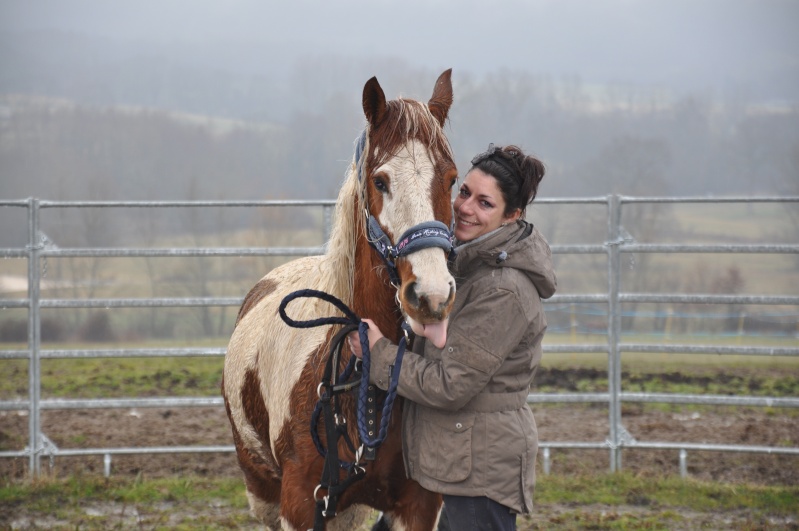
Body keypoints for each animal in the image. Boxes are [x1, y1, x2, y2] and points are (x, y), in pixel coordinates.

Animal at [223, 70, 462, 531]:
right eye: (380, 181)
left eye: (452, 179)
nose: (431, 294)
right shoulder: (300, 505)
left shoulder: (419, 505)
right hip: (262, 490)